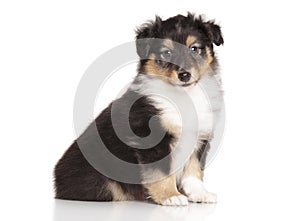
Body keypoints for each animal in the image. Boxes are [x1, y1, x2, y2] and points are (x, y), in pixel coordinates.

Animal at [54, 12, 224, 206]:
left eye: (194, 49)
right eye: (166, 53)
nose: (184, 75)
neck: (184, 95)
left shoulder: (200, 135)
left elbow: (194, 170)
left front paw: (200, 194)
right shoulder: (151, 137)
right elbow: (161, 172)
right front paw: (170, 196)